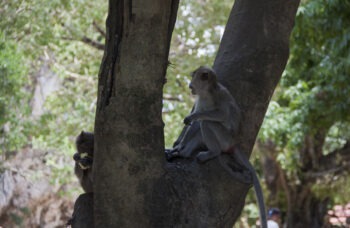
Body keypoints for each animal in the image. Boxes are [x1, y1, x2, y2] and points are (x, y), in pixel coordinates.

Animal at [165, 66, 268, 228]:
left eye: (194, 78)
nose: (190, 86)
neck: (208, 90)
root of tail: (233, 143)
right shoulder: (201, 99)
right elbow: (195, 124)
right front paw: (178, 147)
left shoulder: (215, 97)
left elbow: (220, 114)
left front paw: (193, 117)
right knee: (201, 127)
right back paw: (183, 153)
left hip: (224, 139)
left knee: (207, 123)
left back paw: (212, 152)